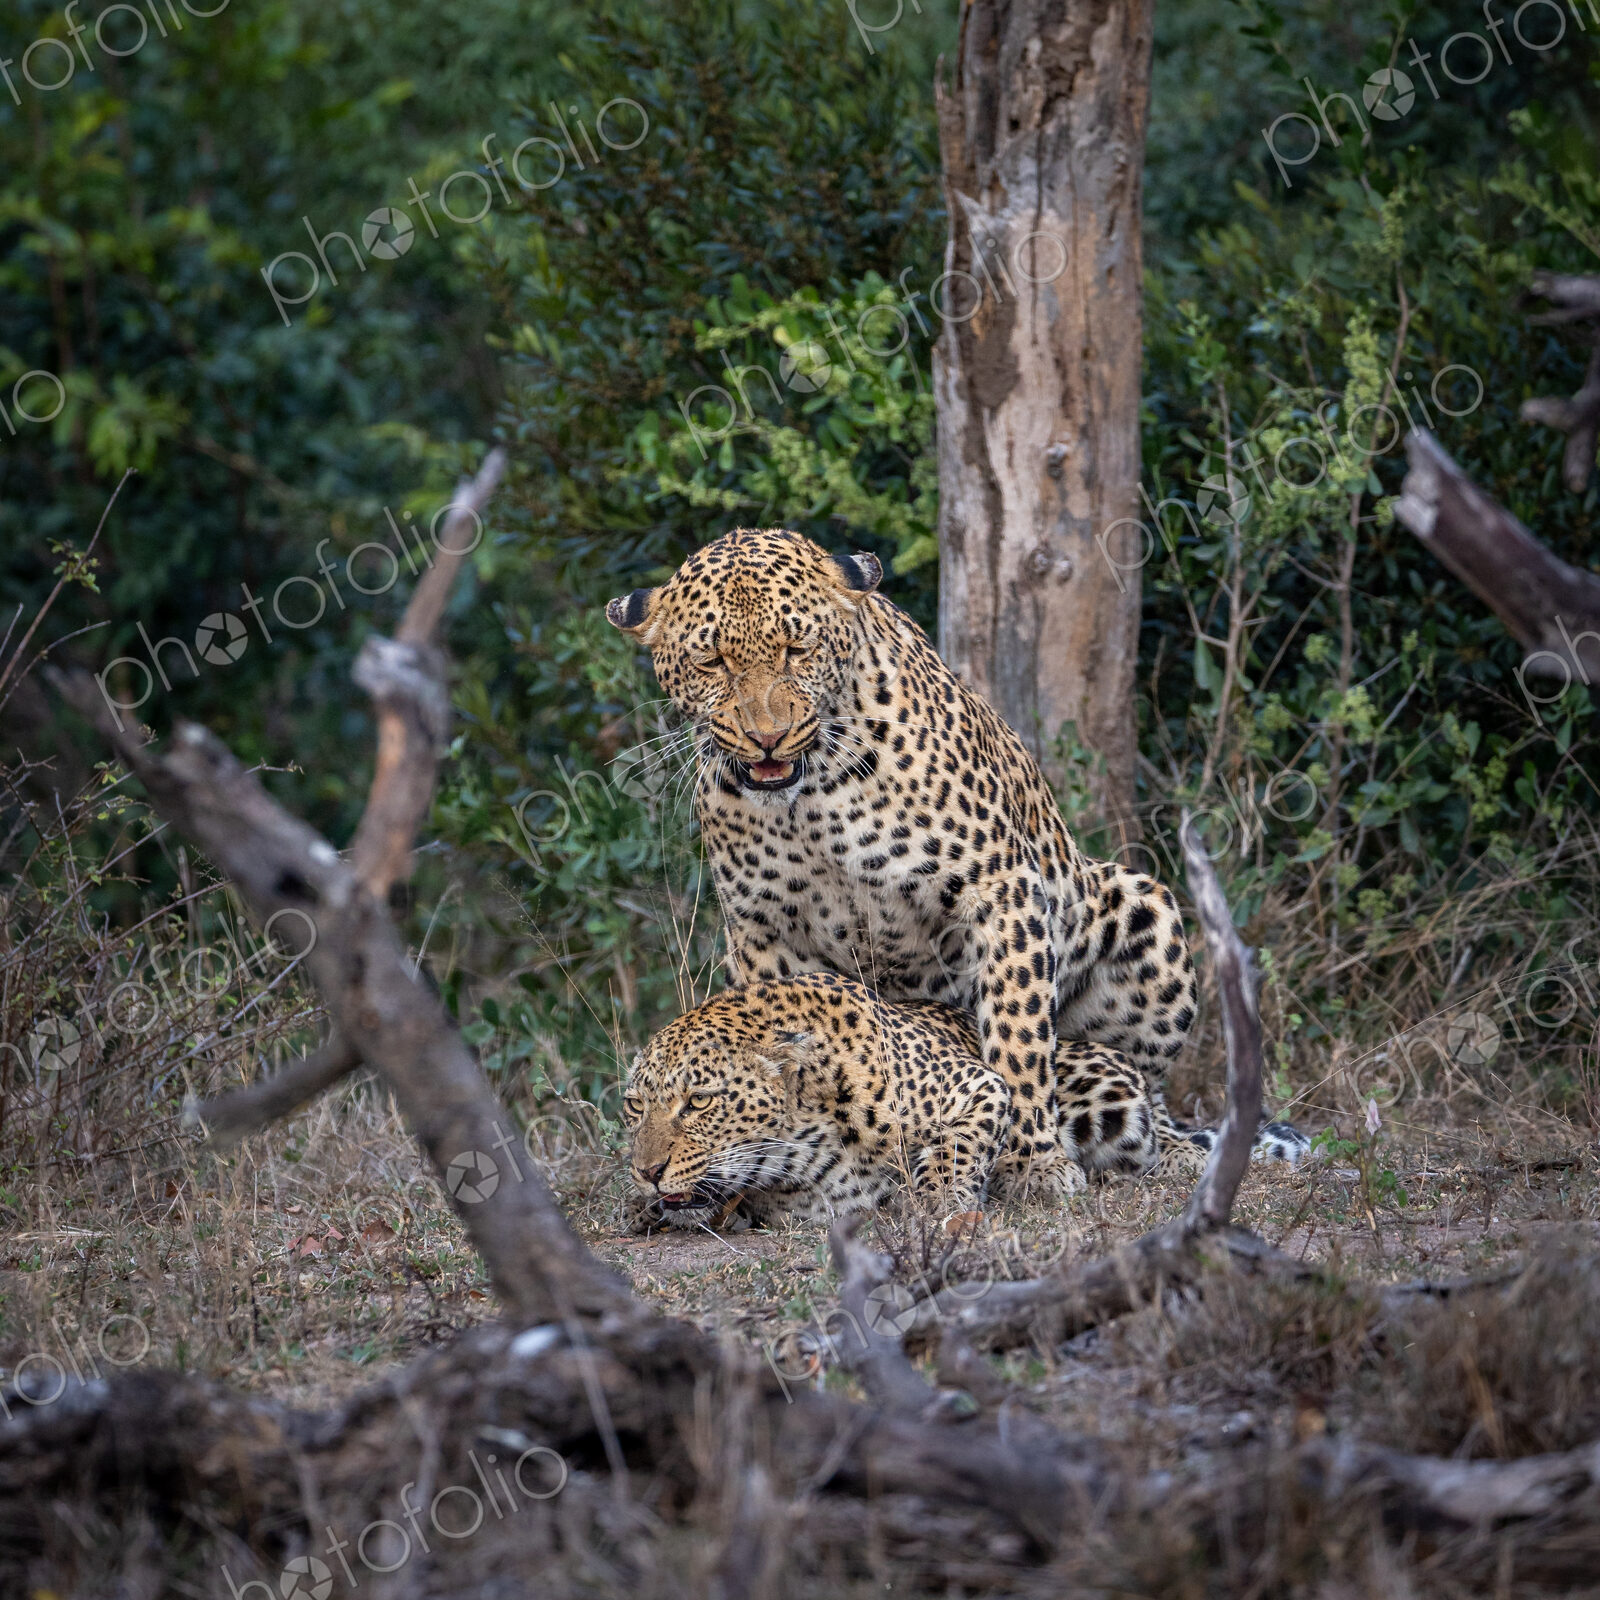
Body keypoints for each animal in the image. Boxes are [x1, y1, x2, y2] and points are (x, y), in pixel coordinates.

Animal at [607, 526, 1237, 1194]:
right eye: (712, 662)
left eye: (797, 649)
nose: (767, 738)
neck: (808, 802)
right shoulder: (762, 931)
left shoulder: (1002, 888)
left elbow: (1016, 1036)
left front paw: (1032, 1161)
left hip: (1143, 909)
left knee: (1143, 1083)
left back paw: (1178, 1152)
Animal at [622, 973, 1309, 1229]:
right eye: (634, 1106)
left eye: (699, 1101)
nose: (646, 1171)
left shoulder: (978, 1085)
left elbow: (957, 1144)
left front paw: (940, 1199)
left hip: (1112, 1103)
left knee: (1157, 1146)